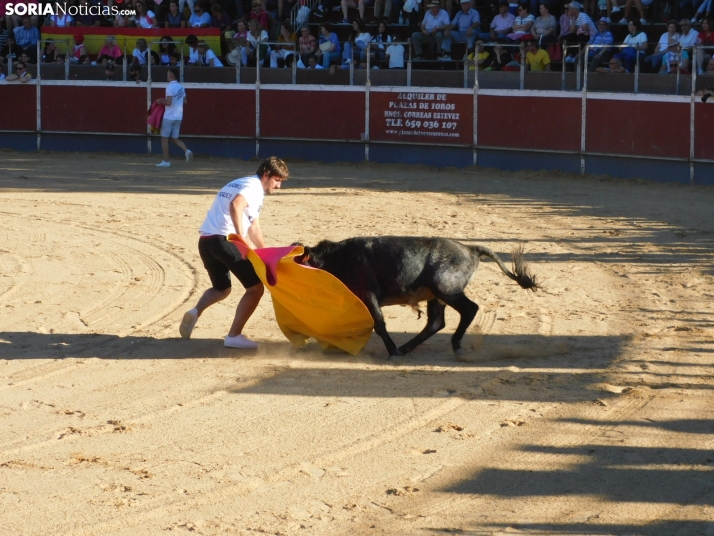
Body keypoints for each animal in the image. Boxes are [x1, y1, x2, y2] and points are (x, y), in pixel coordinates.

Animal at [292, 237, 536, 358]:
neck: (338, 258)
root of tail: (470, 248)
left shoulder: (368, 294)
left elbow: (379, 323)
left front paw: (391, 351)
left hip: (445, 288)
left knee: (469, 309)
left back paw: (454, 345)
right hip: (436, 296)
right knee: (436, 322)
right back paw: (407, 348)